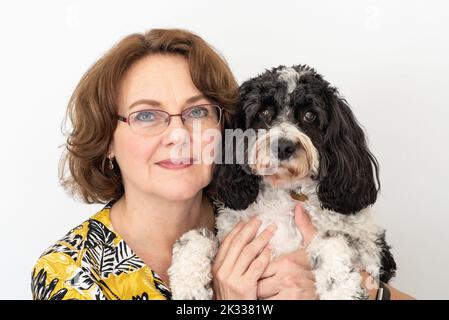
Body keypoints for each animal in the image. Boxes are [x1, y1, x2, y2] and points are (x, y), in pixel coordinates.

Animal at [169, 64, 396, 300]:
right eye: (263, 113)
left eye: (309, 115)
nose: (284, 146)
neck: (285, 191)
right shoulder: (227, 235)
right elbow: (196, 237)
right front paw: (188, 286)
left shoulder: (374, 250)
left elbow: (332, 239)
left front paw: (340, 289)